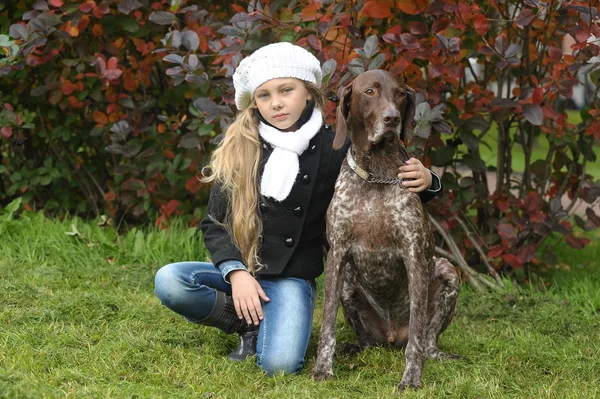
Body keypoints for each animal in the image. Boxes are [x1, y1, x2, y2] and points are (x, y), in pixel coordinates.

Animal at [312, 69, 458, 390]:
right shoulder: (337, 255)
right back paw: (355, 346)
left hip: (446, 270)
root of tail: (391, 336)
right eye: (370, 92)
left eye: (401, 94)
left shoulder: (415, 256)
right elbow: (327, 324)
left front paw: (412, 377)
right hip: (349, 282)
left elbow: (417, 333)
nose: (392, 118)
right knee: (366, 340)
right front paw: (322, 368)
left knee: (426, 340)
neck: (377, 174)